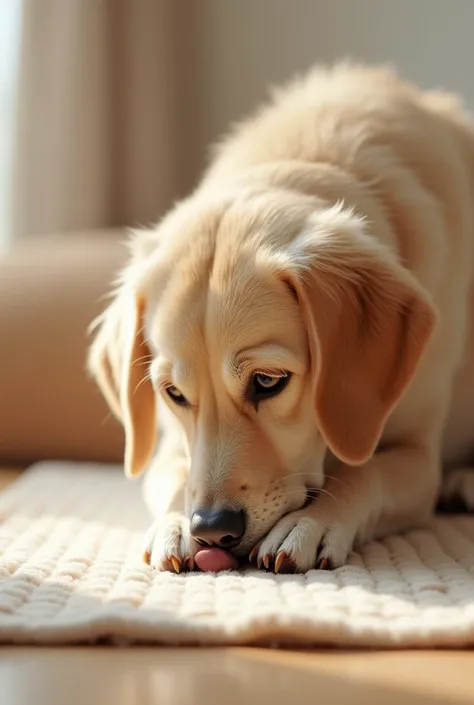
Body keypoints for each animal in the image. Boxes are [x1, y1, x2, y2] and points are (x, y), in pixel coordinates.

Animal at [87, 63, 474, 572]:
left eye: (268, 382)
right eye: (174, 395)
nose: (212, 528)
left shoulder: (417, 456)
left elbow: (365, 472)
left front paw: (312, 521)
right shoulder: (169, 447)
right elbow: (176, 477)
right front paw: (173, 524)